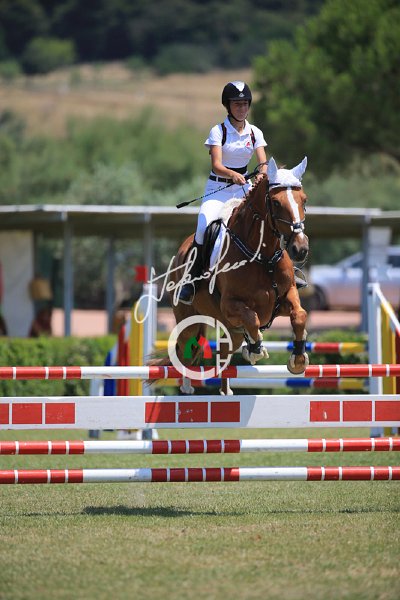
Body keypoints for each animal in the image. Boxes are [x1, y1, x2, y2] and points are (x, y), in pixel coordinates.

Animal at [156, 156, 309, 395]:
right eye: (276, 203)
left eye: (303, 200)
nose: (300, 249)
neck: (262, 256)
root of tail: (182, 249)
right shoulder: (230, 304)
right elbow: (252, 319)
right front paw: (255, 350)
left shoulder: (285, 298)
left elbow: (300, 315)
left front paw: (298, 360)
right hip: (188, 320)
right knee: (185, 349)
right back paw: (187, 386)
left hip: (231, 330)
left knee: (224, 349)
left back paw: (225, 391)